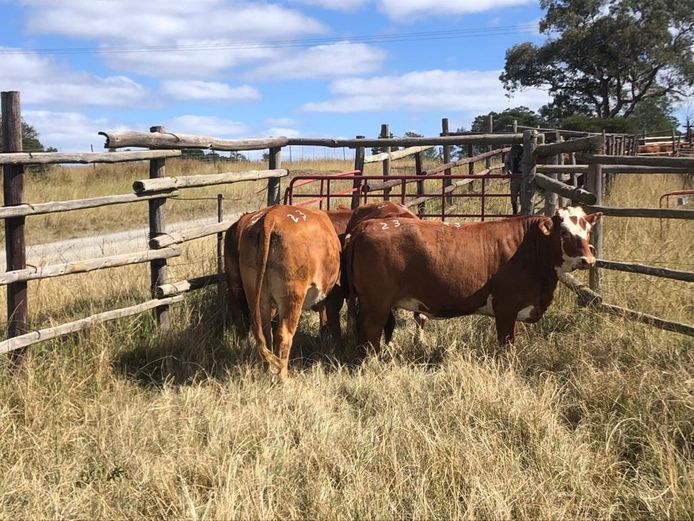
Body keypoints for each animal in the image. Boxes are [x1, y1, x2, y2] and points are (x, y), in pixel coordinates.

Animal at [348, 205, 604, 348]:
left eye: (587, 231)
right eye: (564, 232)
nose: (588, 260)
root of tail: (368, 225)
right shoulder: (505, 308)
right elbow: (506, 344)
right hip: (377, 302)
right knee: (371, 330)